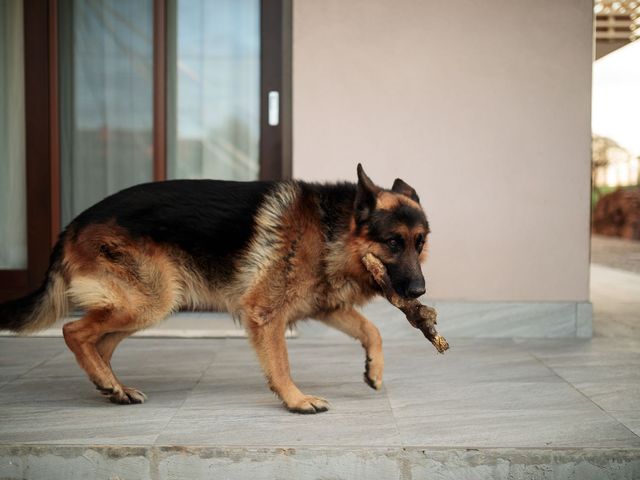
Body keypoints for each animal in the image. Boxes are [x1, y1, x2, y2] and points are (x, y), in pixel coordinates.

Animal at [1, 165, 430, 412]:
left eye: (420, 242)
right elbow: (281, 363)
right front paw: (295, 400)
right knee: (74, 331)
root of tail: (72, 225)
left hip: (149, 303)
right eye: (394, 242)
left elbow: (371, 330)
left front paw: (374, 370)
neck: (332, 231)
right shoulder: (266, 314)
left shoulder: (324, 306)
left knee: (99, 343)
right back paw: (107, 382)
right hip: (151, 301)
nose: (419, 291)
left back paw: (113, 387)